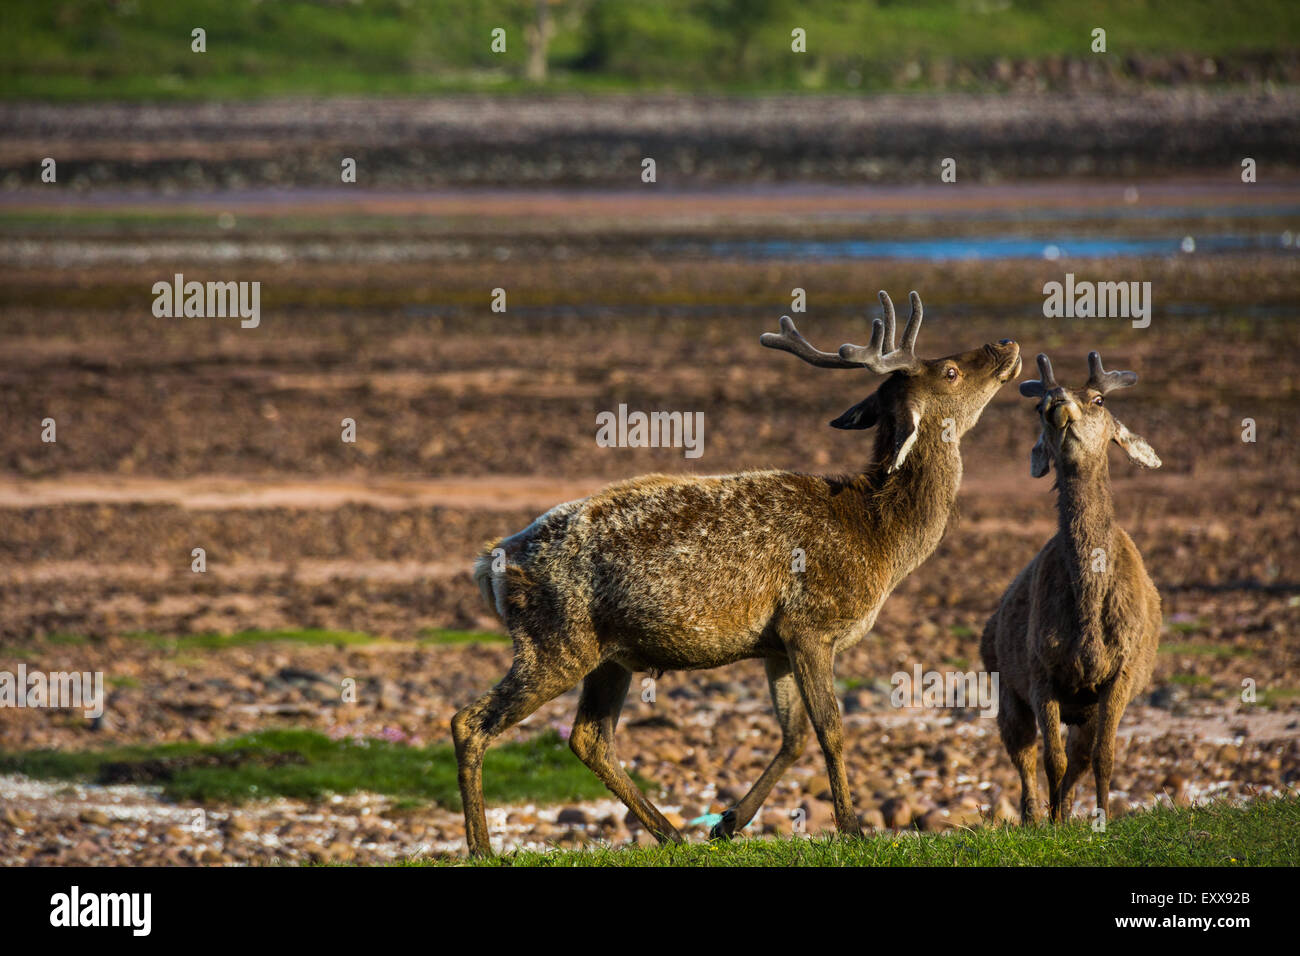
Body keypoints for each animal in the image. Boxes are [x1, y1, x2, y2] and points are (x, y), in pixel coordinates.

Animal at [452, 290, 1019, 853]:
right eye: (949, 371)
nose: (1005, 343)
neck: (882, 540)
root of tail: (491, 564)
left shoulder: (778, 642)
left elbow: (793, 736)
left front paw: (728, 822)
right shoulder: (811, 623)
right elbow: (831, 730)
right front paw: (853, 829)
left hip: (608, 654)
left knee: (589, 738)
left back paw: (672, 834)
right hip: (554, 642)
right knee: (469, 722)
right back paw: (482, 848)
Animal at [977, 356, 1164, 827]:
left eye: (1097, 399)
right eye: (1037, 403)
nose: (1057, 402)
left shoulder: (1121, 674)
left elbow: (1102, 757)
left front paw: (1100, 817)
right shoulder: (1039, 670)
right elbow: (1052, 759)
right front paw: (1053, 822)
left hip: (1086, 706)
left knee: (1079, 755)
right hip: (1005, 682)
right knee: (1022, 751)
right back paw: (1034, 815)